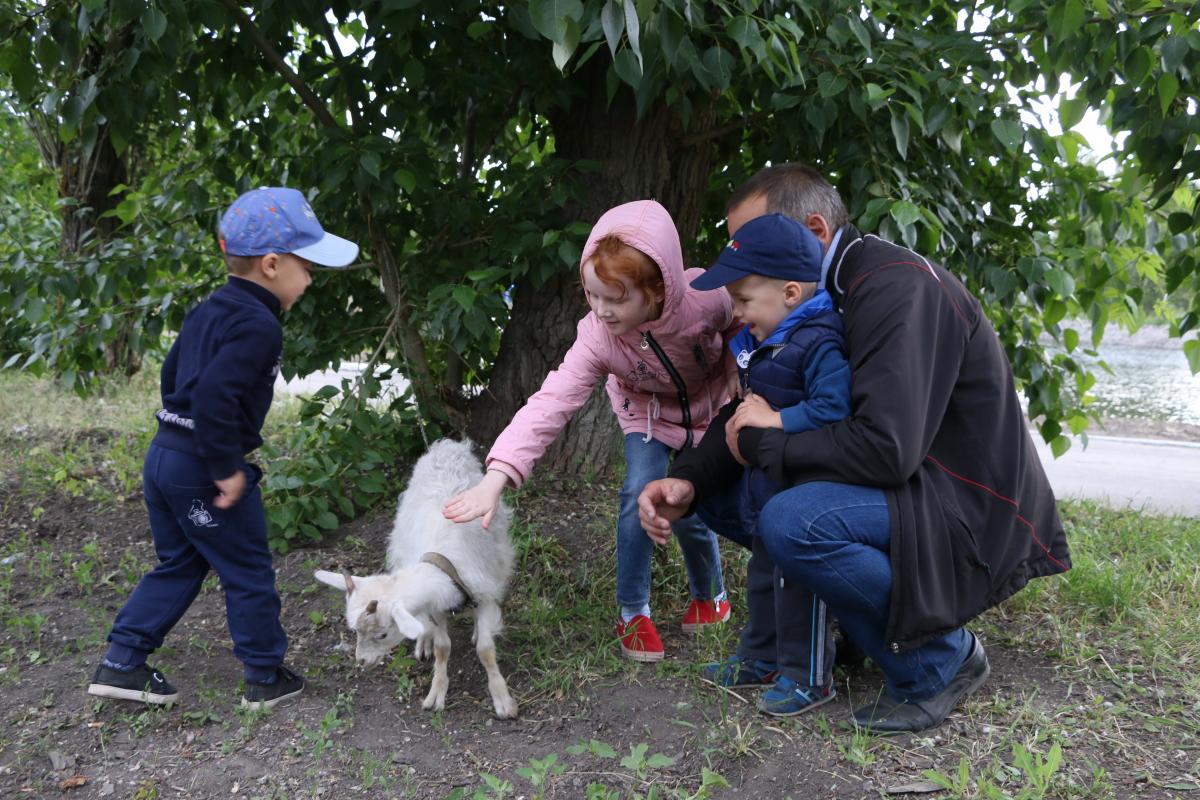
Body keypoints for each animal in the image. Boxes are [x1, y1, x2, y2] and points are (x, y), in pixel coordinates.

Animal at [314, 438, 516, 719]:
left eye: (382, 635)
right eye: (355, 632)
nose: (362, 662)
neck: (443, 564)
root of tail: (446, 445)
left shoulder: (484, 593)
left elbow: (486, 650)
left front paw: (502, 699)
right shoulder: (436, 606)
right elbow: (442, 647)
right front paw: (437, 692)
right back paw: (424, 640)